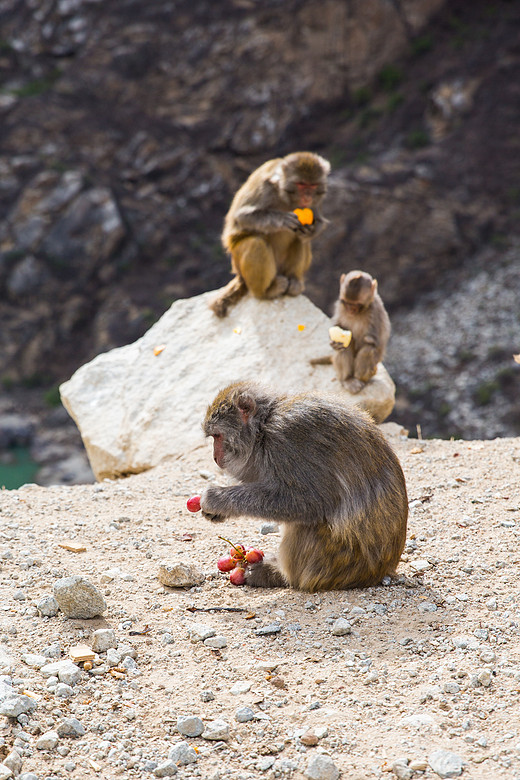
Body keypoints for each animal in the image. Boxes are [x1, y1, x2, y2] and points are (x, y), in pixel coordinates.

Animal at [201, 380, 408, 592]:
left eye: (217, 436)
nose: (215, 457)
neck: (264, 425)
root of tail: (380, 572)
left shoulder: (287, 438)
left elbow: (307, 502)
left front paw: (217, 499)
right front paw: (219, 511)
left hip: (334, 561)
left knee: (306, 522)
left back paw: (279, 576)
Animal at [210, 152, 330, 316]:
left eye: (312, 186)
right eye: (301, 184)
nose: (307, 197)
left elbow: (318, 220)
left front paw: (312, 230)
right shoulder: (264, 188)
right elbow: (241, 217)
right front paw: (282, 219)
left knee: (299, 239)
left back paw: (294, 281)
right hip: (240, 264)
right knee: (256, 243)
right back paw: (266, 291)